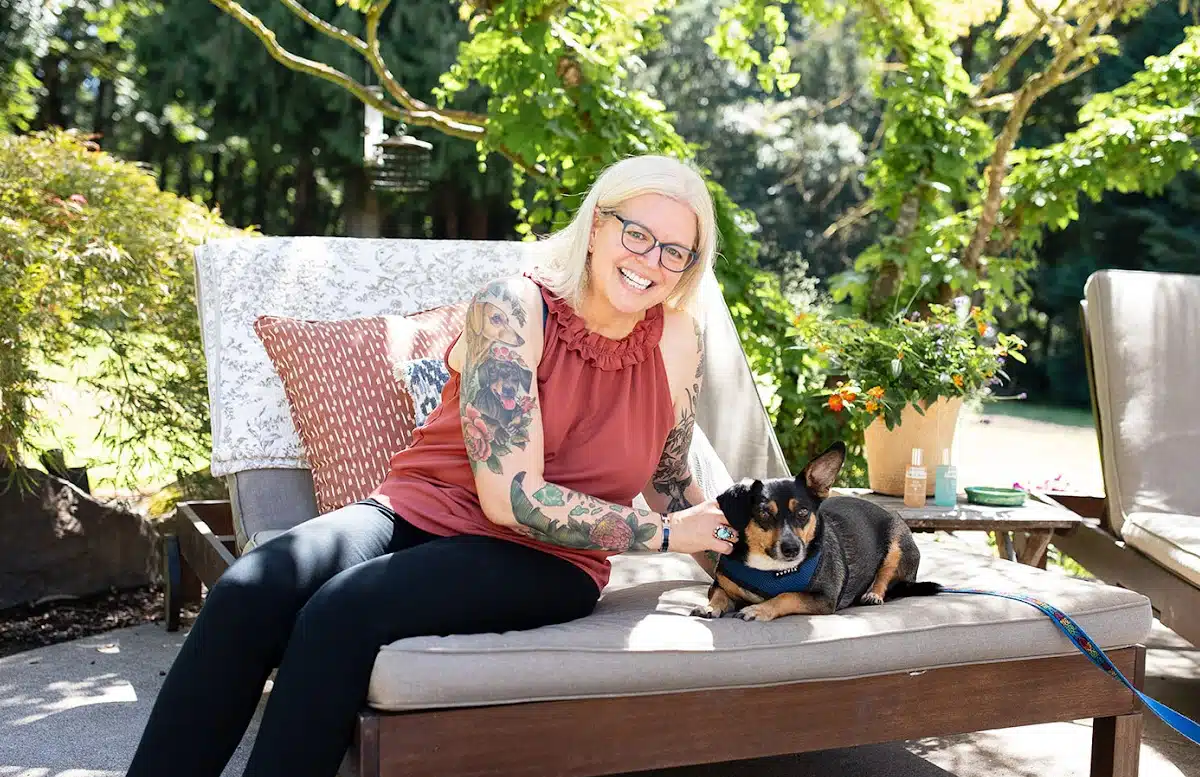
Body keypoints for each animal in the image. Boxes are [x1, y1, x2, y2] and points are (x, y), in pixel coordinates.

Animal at [700, 441, 940, 623]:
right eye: (764, 513)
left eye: (803, 512)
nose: (791, 549)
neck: (773, 570)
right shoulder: (720, 585)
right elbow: (719, 594)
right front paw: (710, 607)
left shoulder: (823, 598)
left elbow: (787, 595)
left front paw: (758, 609)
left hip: (898, 543)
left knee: (885, 575)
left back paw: (873, 593)